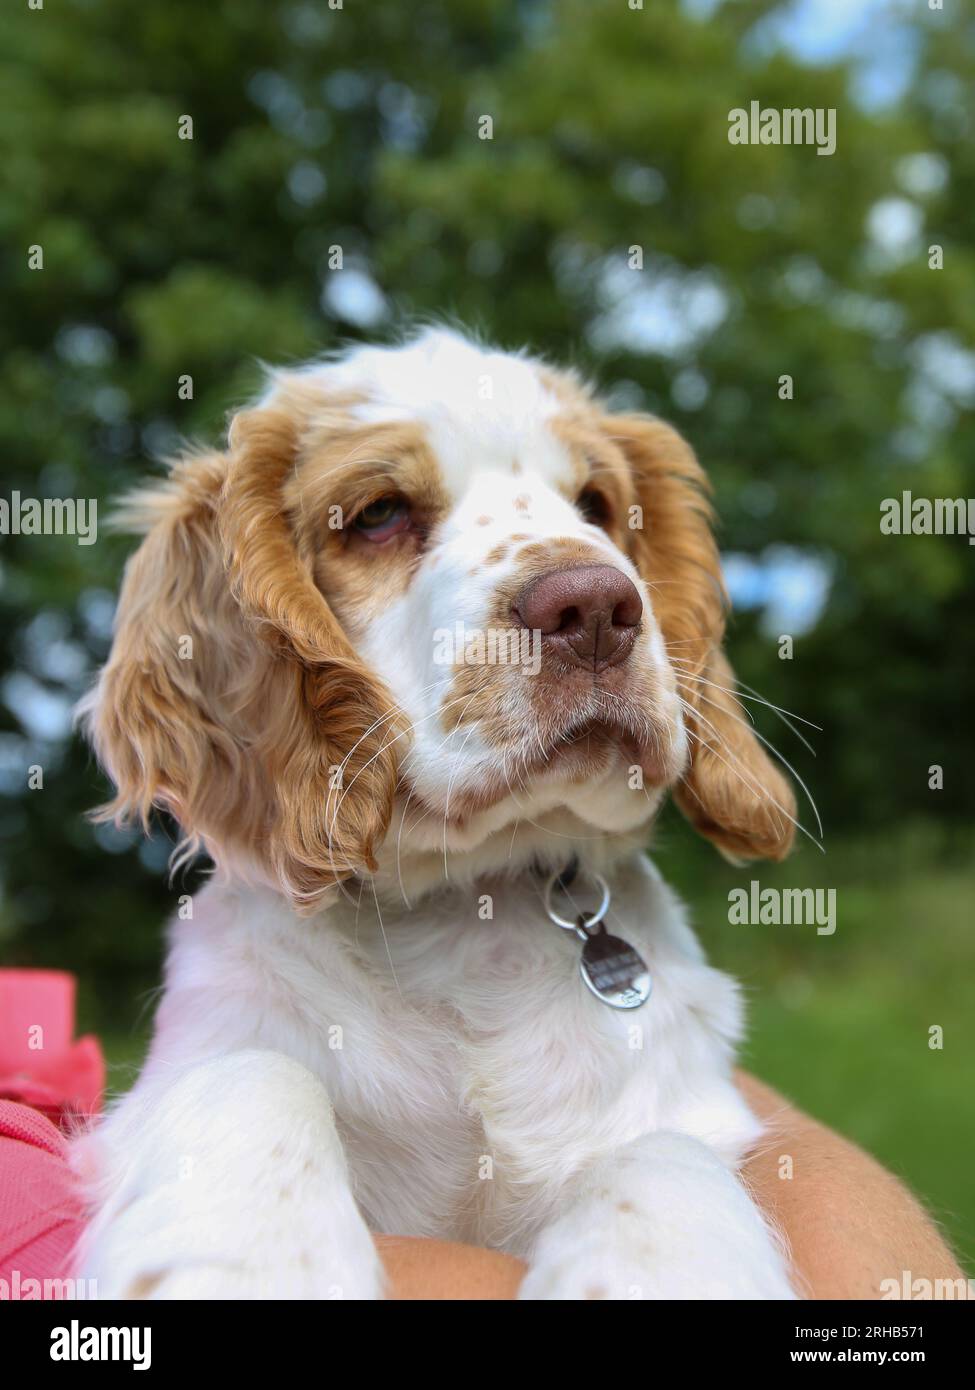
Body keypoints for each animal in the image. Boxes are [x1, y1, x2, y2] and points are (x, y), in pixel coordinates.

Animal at [77, 328, 801, 1301]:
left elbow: (663, 1158)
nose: (596, 607)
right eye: (379, 514)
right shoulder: (191, 1063)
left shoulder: (688, 1107)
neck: (468, 916)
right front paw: (255, 1263)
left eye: (597, 505)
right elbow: (255, 1073)